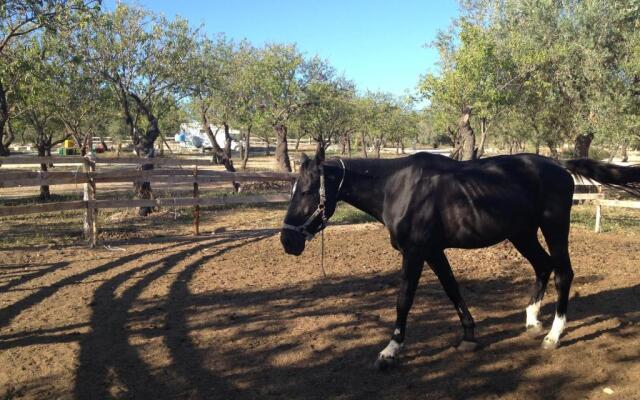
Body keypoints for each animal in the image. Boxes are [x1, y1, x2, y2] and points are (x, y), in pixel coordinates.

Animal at [282, 152, 640, 370]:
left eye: (307, 191)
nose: (288, 241)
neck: (397, 188)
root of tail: (560, 166)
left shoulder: (415, 252)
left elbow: (404, 299)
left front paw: (390, 350)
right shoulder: (432, 251)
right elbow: (452, 289)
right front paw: (469, 335)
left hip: (553, 227)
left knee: (563, 272)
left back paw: (553, 335)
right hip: (522, 233)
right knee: (543, 266)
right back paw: (531, 320)